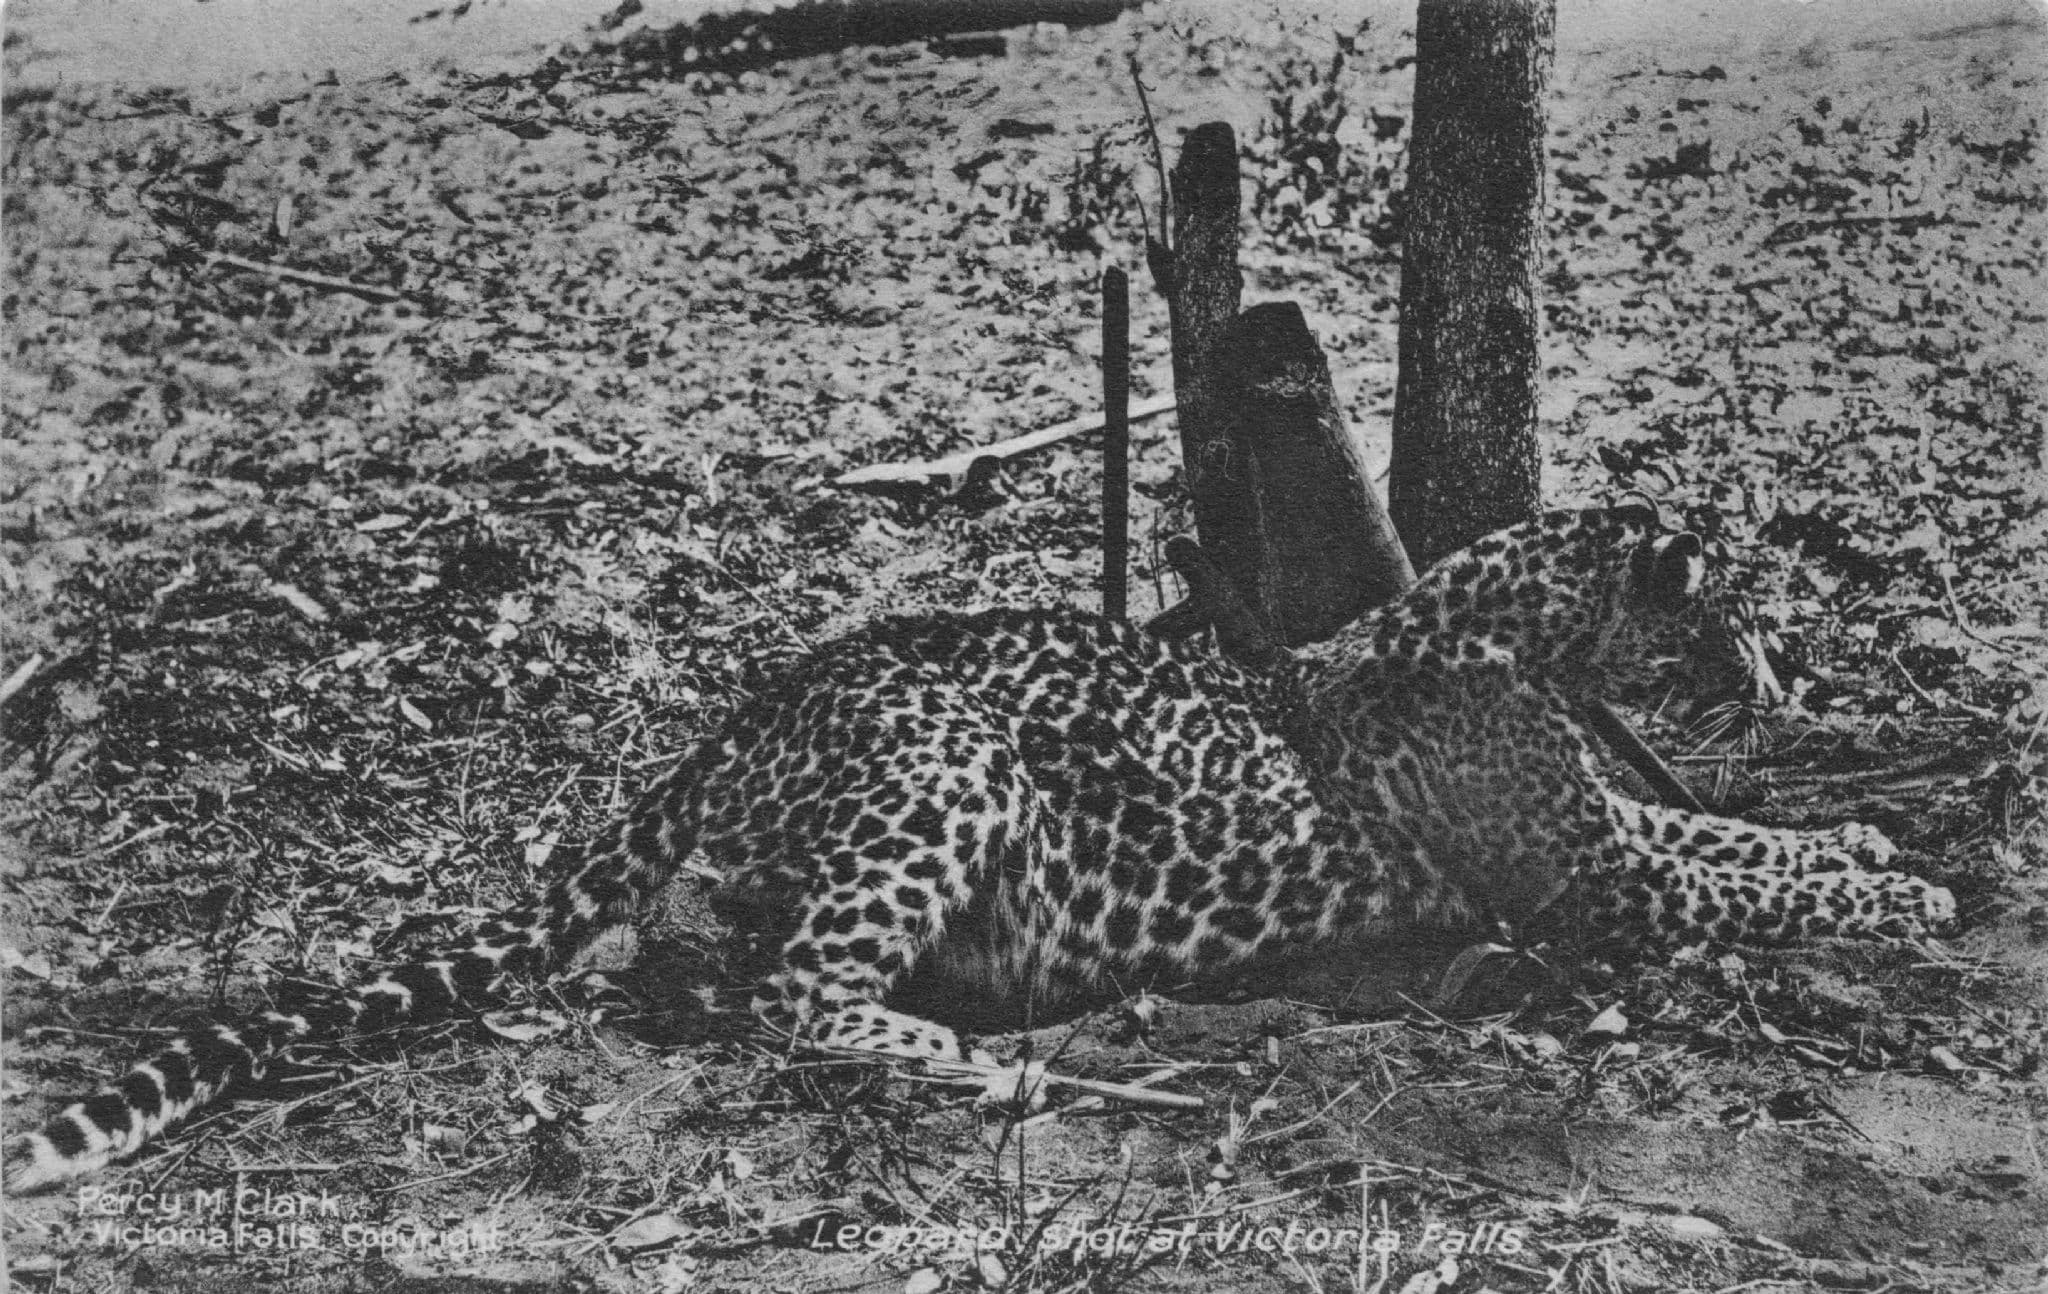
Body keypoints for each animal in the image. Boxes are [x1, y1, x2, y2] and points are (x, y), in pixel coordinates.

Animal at [2, 506, 1955, 1194]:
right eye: (1732, 612)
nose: (1784, 665)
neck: (1538, 622)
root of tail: (747, 703)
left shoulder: (1620, 826)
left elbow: (1739, 828)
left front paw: (1866, 826)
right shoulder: (1597, 879)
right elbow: (1736, 865)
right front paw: (1901, 877)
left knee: (712, 961)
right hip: (948, 776)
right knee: (792, 998)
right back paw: (995, 1063)